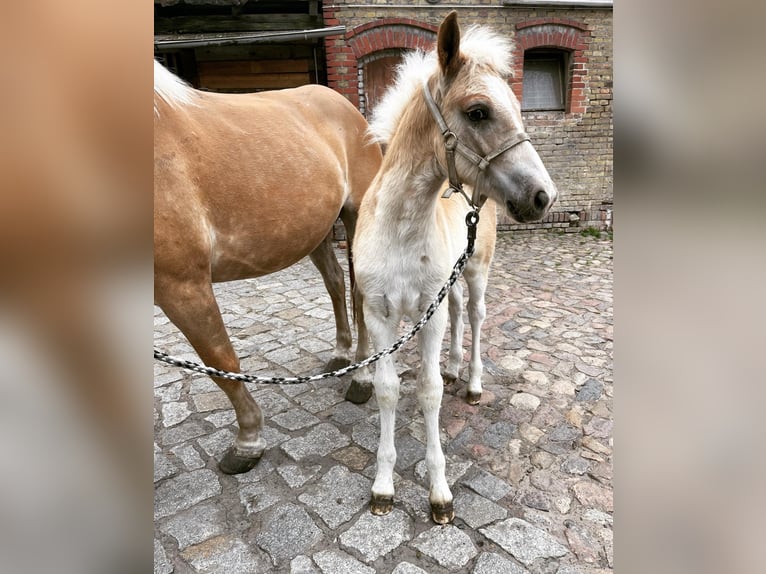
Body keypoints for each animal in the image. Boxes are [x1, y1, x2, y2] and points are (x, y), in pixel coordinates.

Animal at [154, 62, 384, 476]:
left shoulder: (181, 284)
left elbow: (220, 362)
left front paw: (248, 442)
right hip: (317, 230)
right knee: (335, 283)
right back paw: (341, 355)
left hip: (357, 216)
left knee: (359, 293)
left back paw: (361, 376)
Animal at [352, 12, 560, 528]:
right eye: (478, 112)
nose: (544, 196)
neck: (403, 229)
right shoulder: (380, 314)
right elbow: (388, 389)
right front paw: (383, 487)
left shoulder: (428, 311)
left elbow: (428, 393)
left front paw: (439, 493)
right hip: (453, 283)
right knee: (461, 313)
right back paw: (452, 364)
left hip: (478, 271)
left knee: (478, 314)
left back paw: (472, 382)